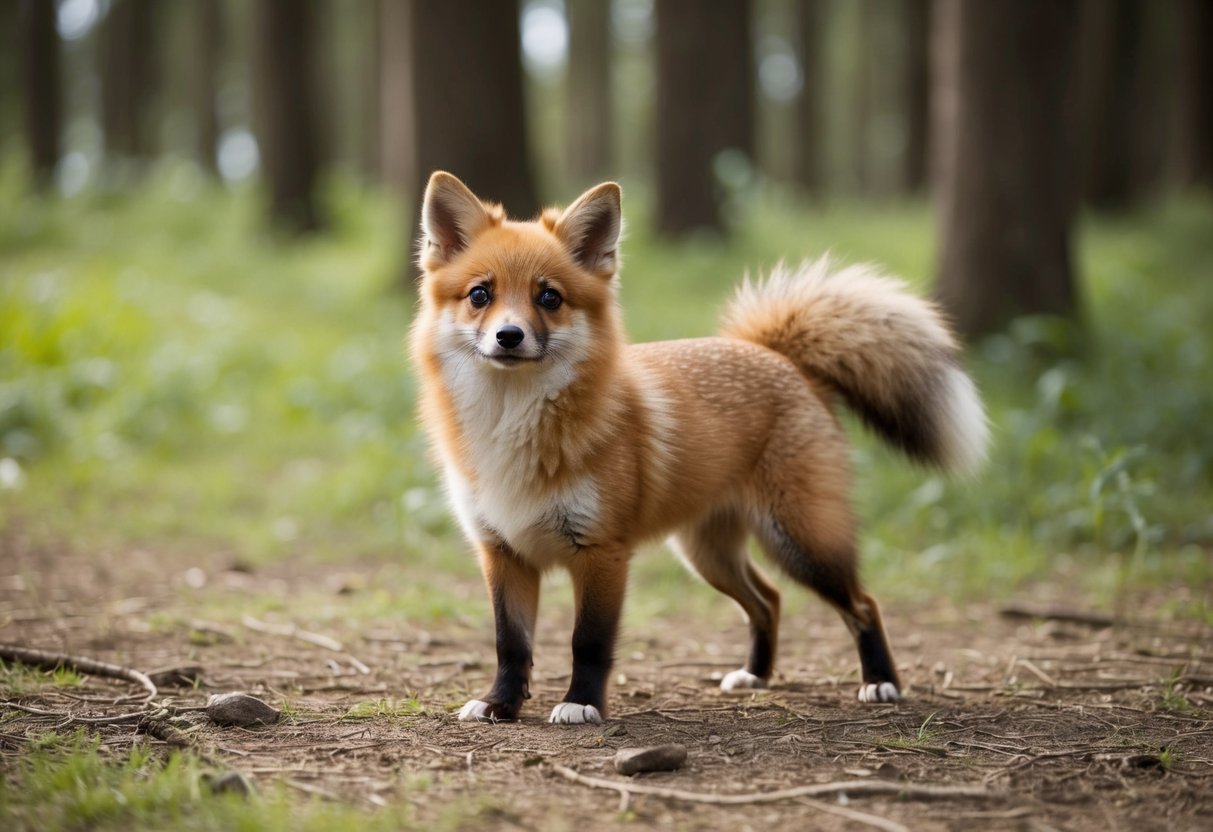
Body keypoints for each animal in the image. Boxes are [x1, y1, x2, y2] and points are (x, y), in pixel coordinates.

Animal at [411, 171, 988, 725]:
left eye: (548, 297)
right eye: (480, 295)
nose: (509, 336)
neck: (510, 428)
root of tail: (775, 354)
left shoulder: (601, 553)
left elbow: (588, 642)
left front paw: (582, 705)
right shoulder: (501, 552)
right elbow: (511, 645)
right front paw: (500, 705)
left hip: (802, 543)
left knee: (863, 604)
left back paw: (881, 682)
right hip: (709, 555)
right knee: (768, 601)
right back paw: (756, 676)